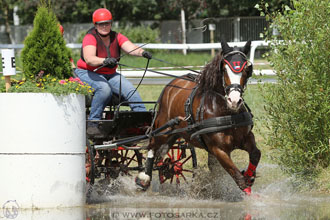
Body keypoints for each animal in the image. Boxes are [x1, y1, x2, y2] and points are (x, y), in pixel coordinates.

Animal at [136, 40, 260, 195]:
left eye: (246, 70)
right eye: (225, 70)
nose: (234, 100)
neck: (227, 113)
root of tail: (171, 85)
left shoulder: (245, 138)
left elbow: (255, 154)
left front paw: (250, 176)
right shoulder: (219, 150)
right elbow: (238, 178)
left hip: (174, 135)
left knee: (161, 154)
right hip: (163, 129)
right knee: (152, 145)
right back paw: (144, 178)